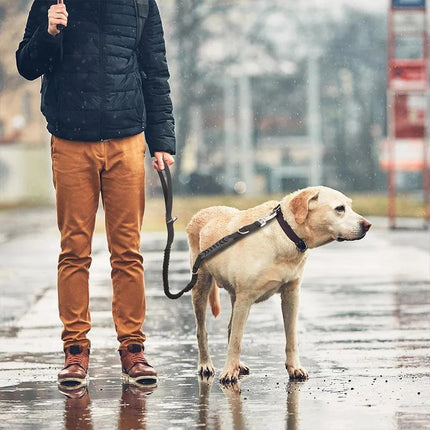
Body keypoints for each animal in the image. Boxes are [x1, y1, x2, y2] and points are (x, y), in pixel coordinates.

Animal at [186, 186, 372, 382]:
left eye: (350, 206)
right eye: (339, 208)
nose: (368, 225)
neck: (285, 234)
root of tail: (201, 212)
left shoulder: (291, 294)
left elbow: (291, 337)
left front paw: (294, 367)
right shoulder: (245, 298)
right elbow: (237, 340)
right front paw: (229, 371)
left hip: (233, 295)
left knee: (230, 327)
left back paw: (239, 365)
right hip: (200, 285)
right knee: (202, 331)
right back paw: (206, 364)